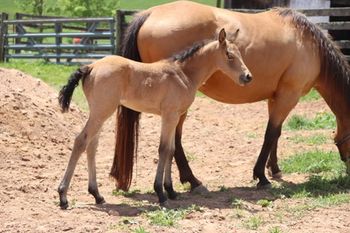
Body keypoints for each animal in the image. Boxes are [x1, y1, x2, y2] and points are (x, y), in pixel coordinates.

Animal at [117, 0, 350, 192]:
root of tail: (150, 13)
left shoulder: (276, 97)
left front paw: (274, 169)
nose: (347, 169)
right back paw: (192, 181)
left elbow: (276, 133)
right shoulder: (289, 95)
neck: (309, 45)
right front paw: (261, 176)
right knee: (175, 140)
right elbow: (270, 134)